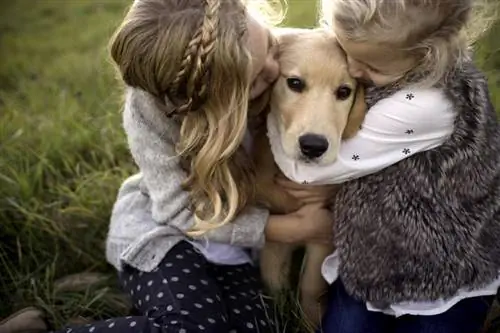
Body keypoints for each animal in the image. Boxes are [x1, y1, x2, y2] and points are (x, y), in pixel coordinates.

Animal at [254, 28, 364, 330]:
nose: (314, 146)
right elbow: (274, 284)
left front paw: (308, 324)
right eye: (294, 83)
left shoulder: (321, 238)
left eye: (344, 92)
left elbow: (311, 289)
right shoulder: (276, 236)